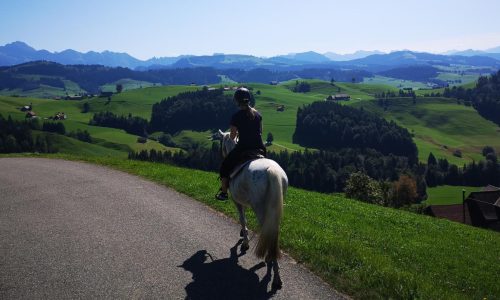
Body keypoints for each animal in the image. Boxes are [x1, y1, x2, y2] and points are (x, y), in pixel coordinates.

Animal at [213, 130, 288, 290]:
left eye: (221, 142)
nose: (221, 155)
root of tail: (272, 171)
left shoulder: (237, 201)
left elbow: (242, 218)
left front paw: (245, 242)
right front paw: (243, 233)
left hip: (261, 208)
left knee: (267, 230)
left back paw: (274, 273)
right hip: (274, 209)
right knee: (273, 231)